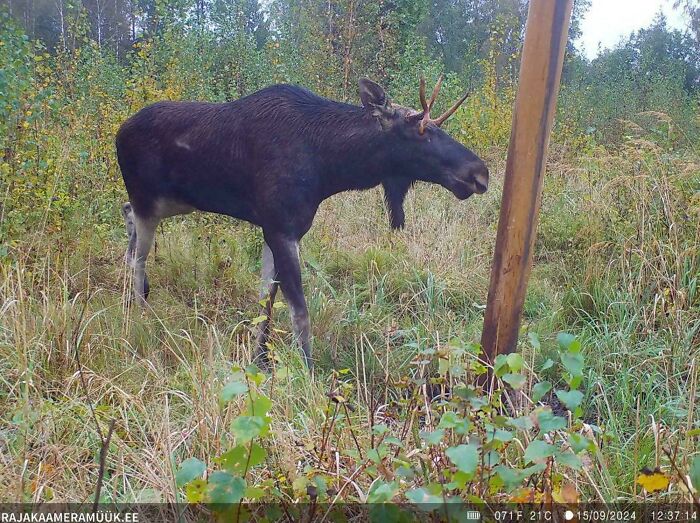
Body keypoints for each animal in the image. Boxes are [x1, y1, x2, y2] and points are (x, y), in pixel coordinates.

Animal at [116, 76, 489, 368]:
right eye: (420, 132)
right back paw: (140, 317)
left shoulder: (274, 229)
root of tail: (119, 132)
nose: (479, 173)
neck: (330, 166)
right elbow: (299, 312)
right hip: (149, 201)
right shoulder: (281, 229)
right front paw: (308, 374)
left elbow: (265, 301)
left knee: (127, 218)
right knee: (136, 256)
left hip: (170, 203)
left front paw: (261, 361)